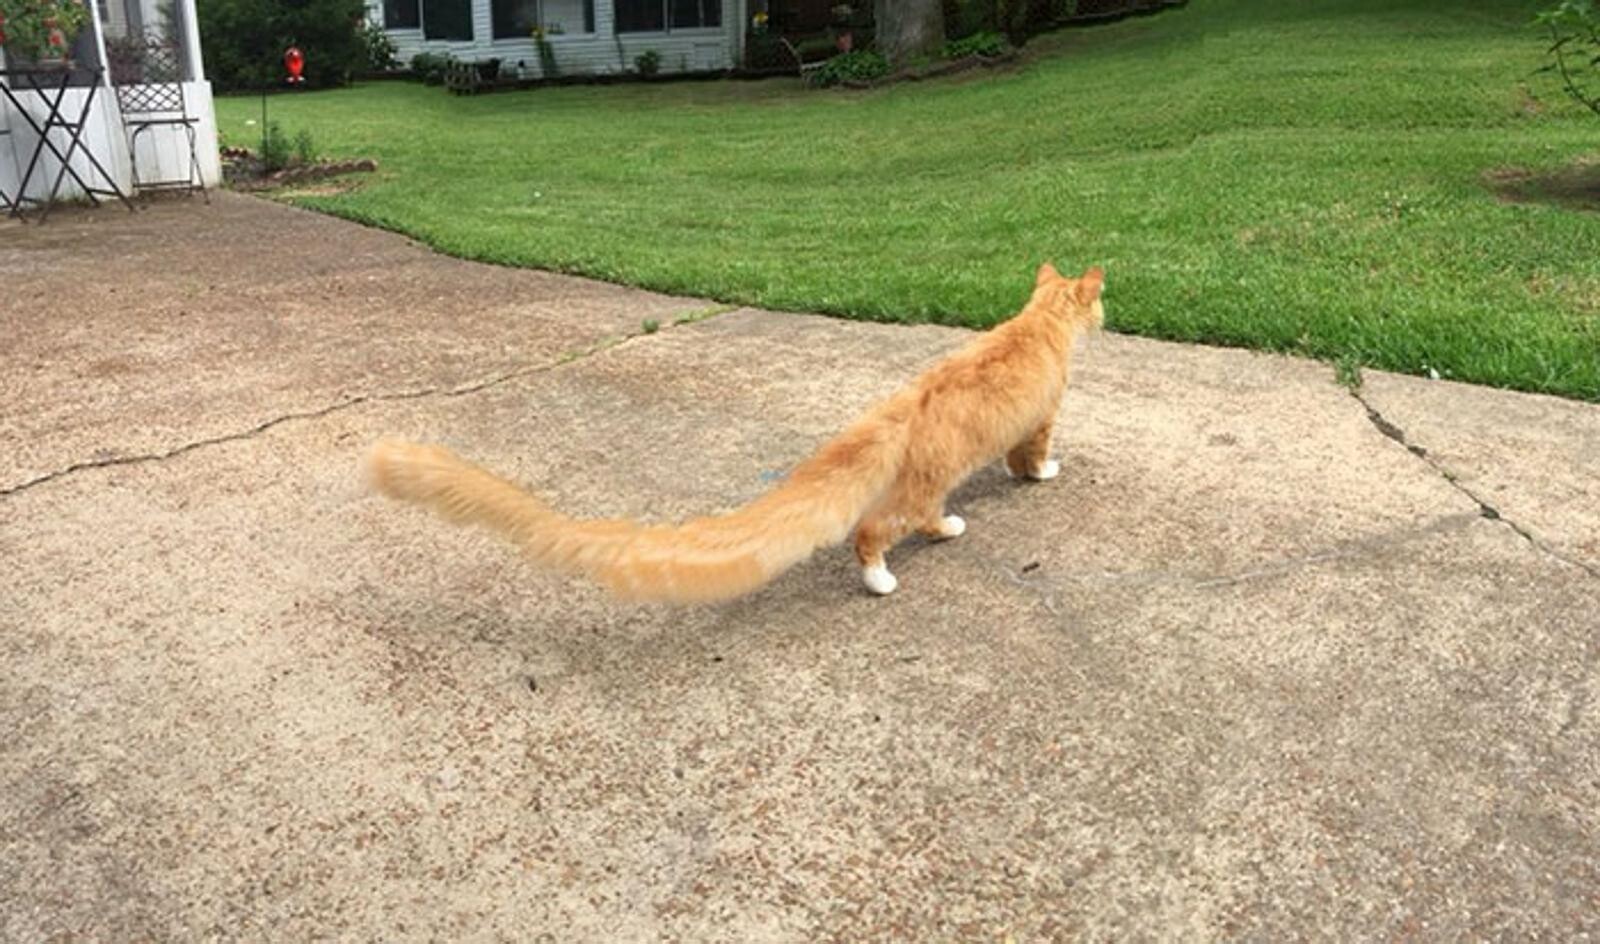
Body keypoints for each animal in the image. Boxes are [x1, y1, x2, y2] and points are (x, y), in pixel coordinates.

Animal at [366, 264, 1107, 608]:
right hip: (923, 488)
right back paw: (896, 568)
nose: (1107, 314)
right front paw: (1042, 475)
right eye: (1100, 303)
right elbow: (1036, 455)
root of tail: (897, 409)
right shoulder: (1044, 416)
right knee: (881, 528)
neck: (1037, 321)